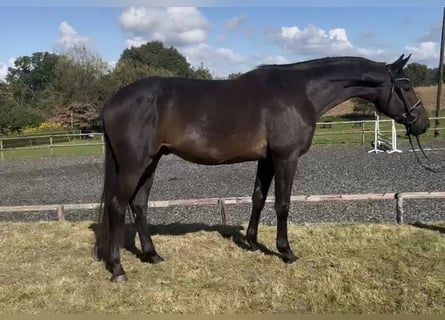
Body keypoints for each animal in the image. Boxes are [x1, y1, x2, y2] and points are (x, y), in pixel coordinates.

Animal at [94, 53, 430, 282]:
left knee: (139, 205)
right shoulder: (286, 158)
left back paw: (151, 255)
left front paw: (253, 243)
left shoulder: (267, 160)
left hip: (151, 161)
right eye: (407, 87)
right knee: (117, 205)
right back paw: (118, 269)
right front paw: (286, 251)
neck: (301, 92)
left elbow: (258, 198)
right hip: (134, 164)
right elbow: (282, 204)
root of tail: (113, 101)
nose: (423, 124)